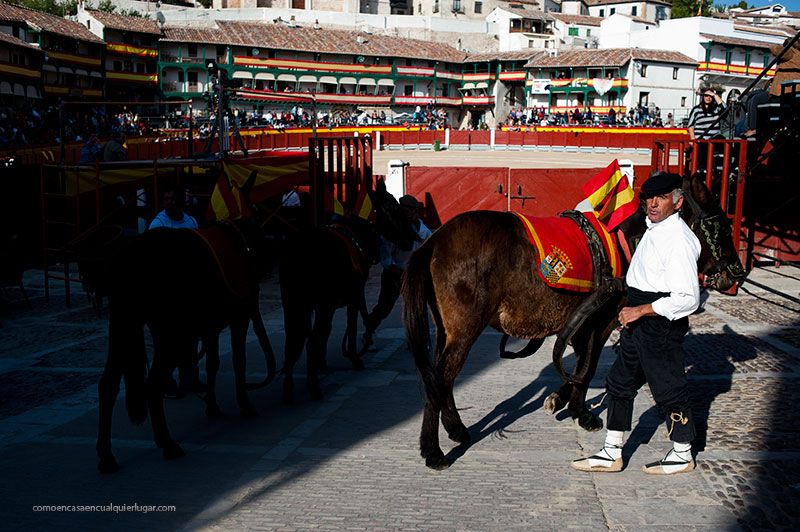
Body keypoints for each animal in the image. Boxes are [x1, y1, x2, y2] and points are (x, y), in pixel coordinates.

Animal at [280, 179, 418, 404]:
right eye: (394, 208)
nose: (411, 238)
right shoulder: (352, 297)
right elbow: (352, 326)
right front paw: (355, 358)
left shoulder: (321, 307)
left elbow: (327, 332)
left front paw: (322, 362)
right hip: (319, 306)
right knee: (308, 342)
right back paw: (314, 388)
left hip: (293, 306)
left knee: (291, 344)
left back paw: (288, 391)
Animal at [404, 172, 748, 468]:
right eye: (720, 222)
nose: (738, 270)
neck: (626, 242)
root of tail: (434, 242)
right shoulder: (600, 322)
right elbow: (587, 366)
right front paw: (581, 412)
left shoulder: (583, 325)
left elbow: (581, 366)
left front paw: (561, 399)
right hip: (464, 331)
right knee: (441, 378)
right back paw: (434, 449)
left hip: (447, 332)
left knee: (439, 379)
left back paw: (456, 431)